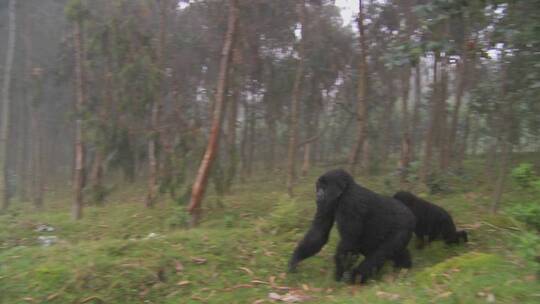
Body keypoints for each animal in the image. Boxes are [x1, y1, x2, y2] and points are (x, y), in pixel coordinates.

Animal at [288, 170, 416, 284]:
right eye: (318, 187)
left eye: (324, 187)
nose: (318, 194)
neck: (345, 191)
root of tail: (409, 212)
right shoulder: (326, 204)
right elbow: (319, 232)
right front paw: (295, 259)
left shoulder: (351, 203)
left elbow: (349, 241)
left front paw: (339, 276)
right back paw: (404, 268)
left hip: (404, 226)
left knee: (380, 254)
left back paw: (358, 277)